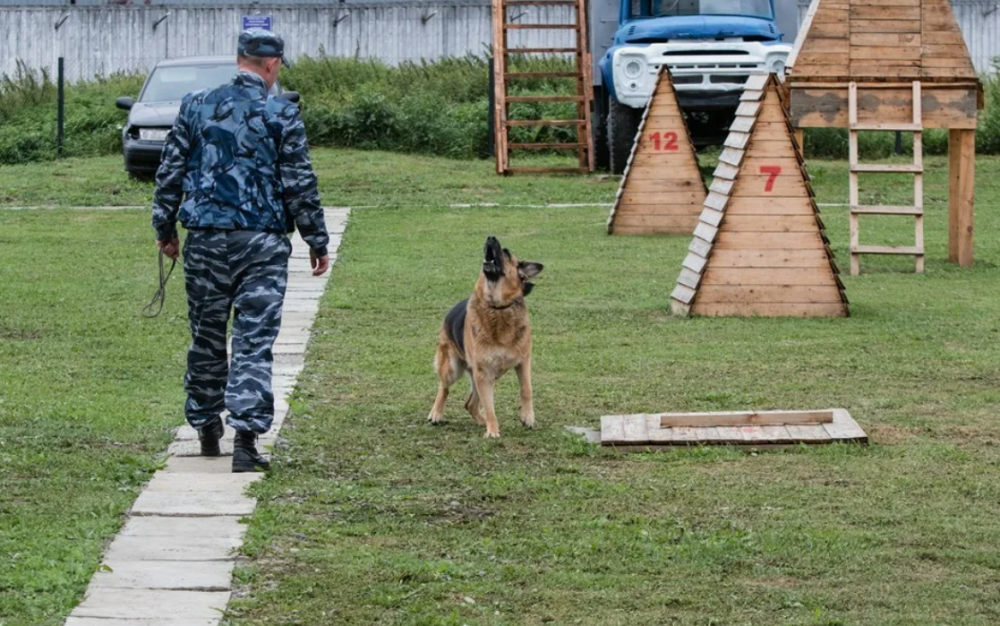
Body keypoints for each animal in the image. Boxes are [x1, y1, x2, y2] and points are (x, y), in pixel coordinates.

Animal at [426, 236, 544, 436]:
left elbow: (526, 389)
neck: (497, 306)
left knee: (470, 404)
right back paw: (436, 413)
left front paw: (527, 417)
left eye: (506, 252)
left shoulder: (523, 361)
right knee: (444, 387)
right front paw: (493, 431)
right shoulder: (484, 374)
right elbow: (490, 406)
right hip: (453, 368)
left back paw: (481, 421)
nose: (491, 237)